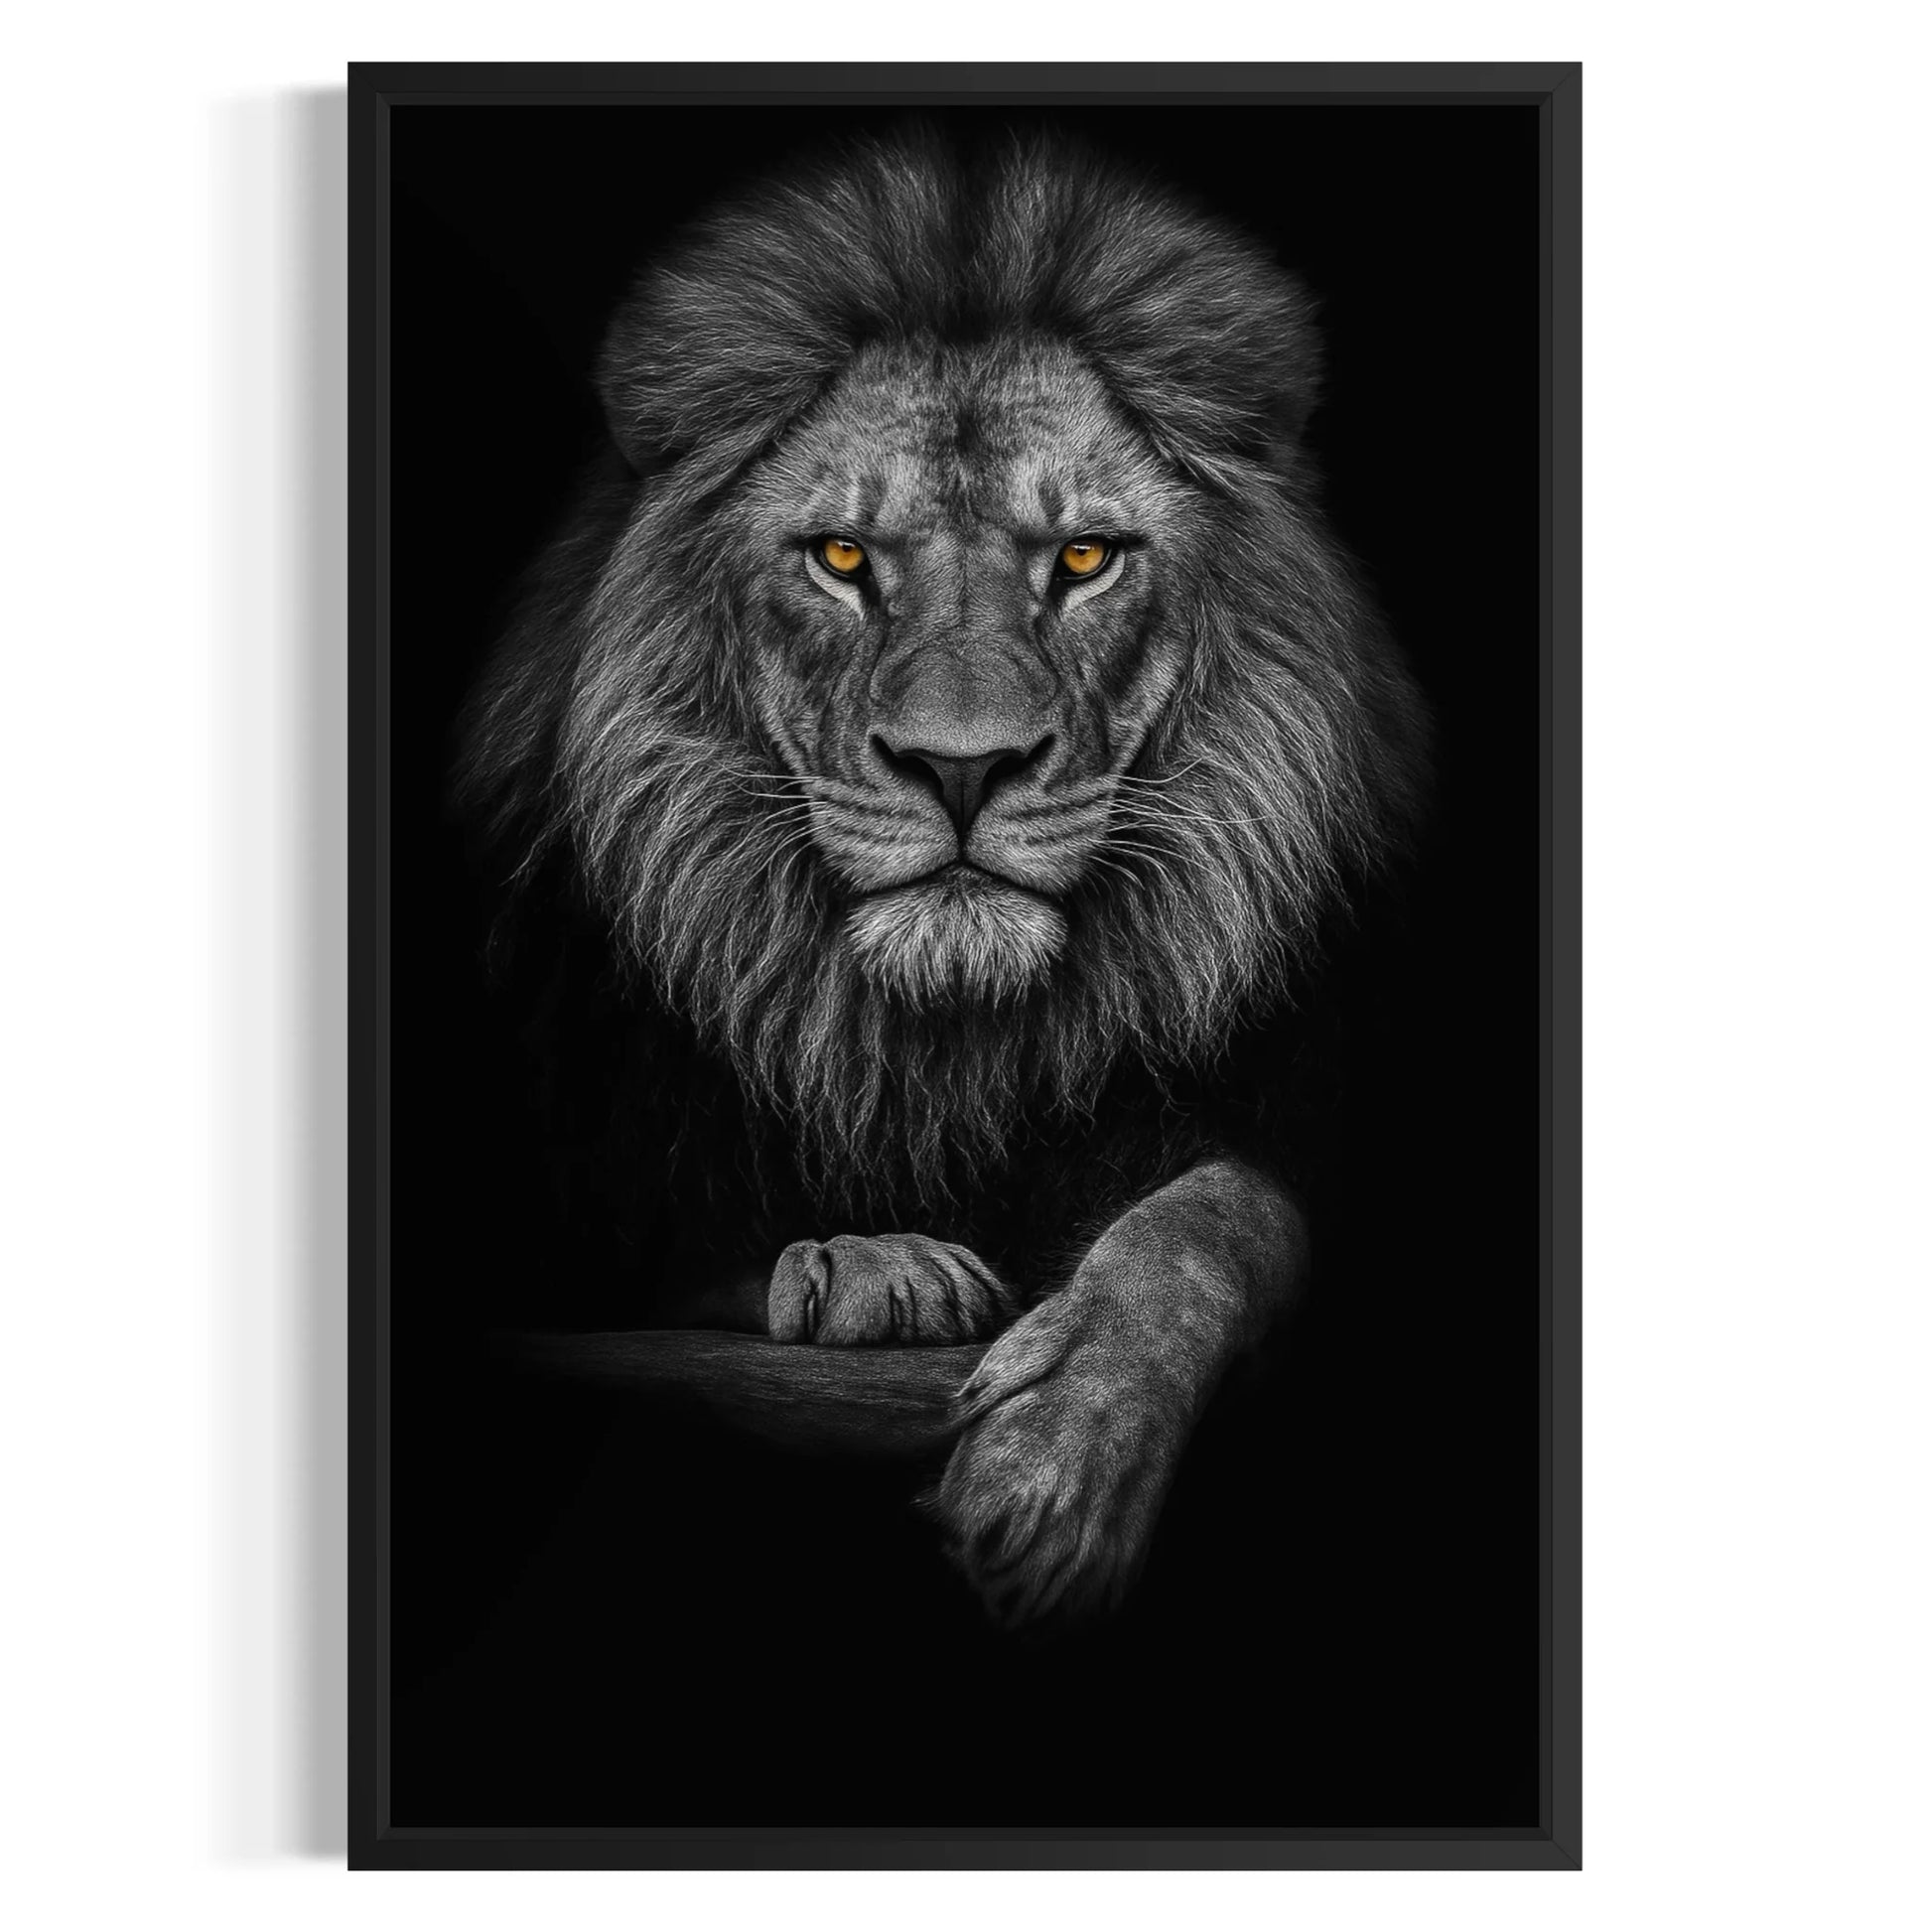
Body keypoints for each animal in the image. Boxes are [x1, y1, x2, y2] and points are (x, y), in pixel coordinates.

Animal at [456, 126, 1430, 1630]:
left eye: (1081, 557)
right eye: (841, 556)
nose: (959, 766)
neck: (941, 1052)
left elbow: (1213, 1213)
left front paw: (1055, 1463)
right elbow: (679, 1257)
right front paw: (876, 1261)